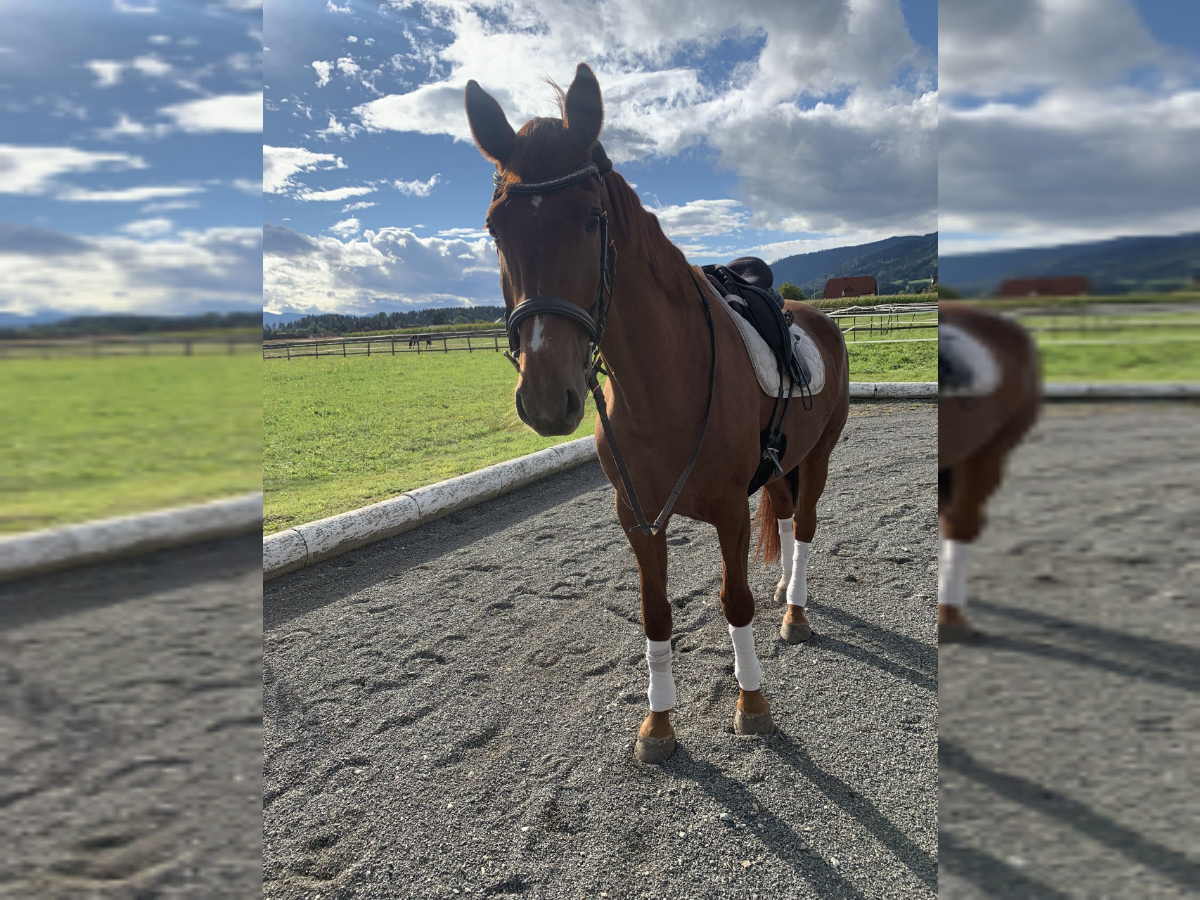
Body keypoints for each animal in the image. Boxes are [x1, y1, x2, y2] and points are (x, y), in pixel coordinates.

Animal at [465, 63, 850, 763]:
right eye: (494, 228)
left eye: (593, 220)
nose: (546, 395)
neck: (661, 385)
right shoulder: (636, 517)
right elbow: (656, 613)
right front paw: (659, 723)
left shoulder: (728, 509)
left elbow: (733, 602)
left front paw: (752, 704)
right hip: (784, 462)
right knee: (784, 514)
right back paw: (786, 589)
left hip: (821, 454)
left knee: (804, 525)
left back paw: (796, 611)